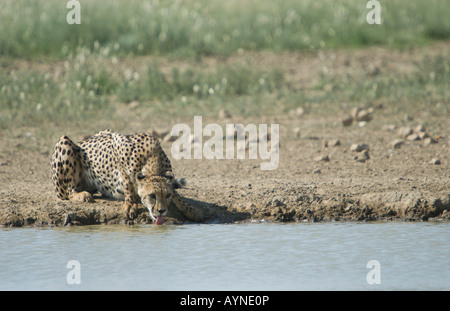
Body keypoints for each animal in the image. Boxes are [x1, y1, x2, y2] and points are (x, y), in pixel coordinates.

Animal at [50, 130, 203, 225]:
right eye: (152, 196)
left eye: (167, 196)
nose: (161, 211)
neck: (153, 161)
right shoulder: (117, 147)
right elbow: (128, 182)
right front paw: (130, 204)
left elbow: (176, 193)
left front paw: (190, 209)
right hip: (64, 142)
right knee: (68, 192)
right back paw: (82, 195)